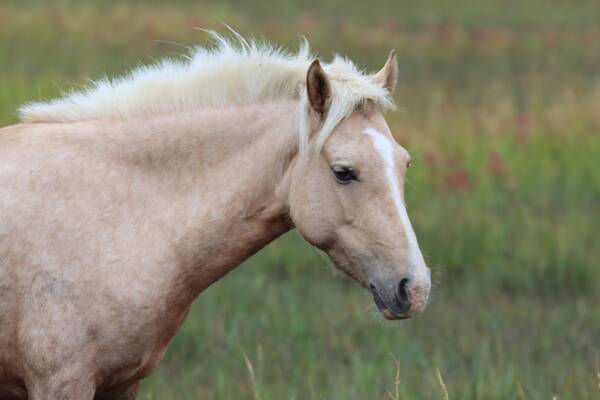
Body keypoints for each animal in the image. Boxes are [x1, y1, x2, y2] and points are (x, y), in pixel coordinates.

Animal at [0, 32, 432, 398]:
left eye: (405, 164)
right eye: (344, 172)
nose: (414, 289)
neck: (116, 212)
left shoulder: (122, 384)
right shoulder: (62, 382)